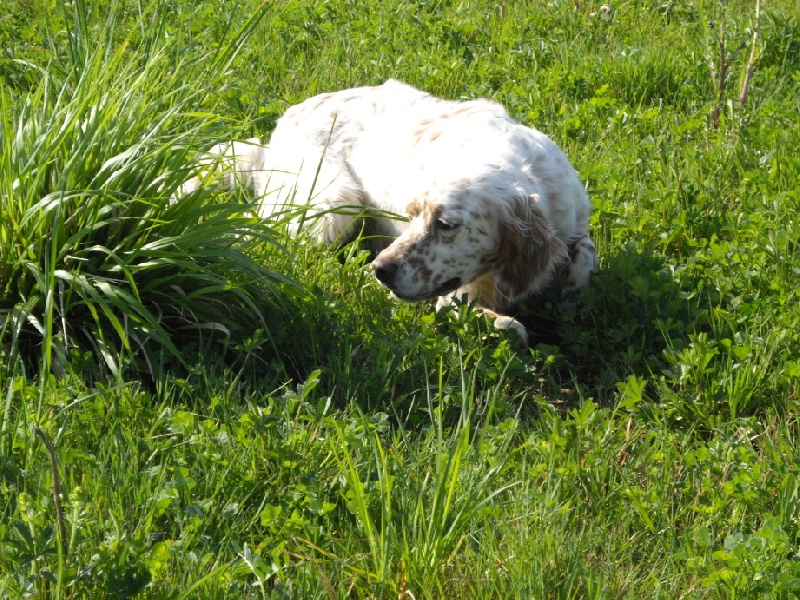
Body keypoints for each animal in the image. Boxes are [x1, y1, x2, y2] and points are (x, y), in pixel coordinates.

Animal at [180, 78, 592, 346]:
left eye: (446, 224)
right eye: (409, 214)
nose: (382, 271)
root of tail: (275, 134)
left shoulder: (574, 220)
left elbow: (585, 257)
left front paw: (570, 291)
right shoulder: (450, 293)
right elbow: (484, 316)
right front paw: (507, 324)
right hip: (334, 200)